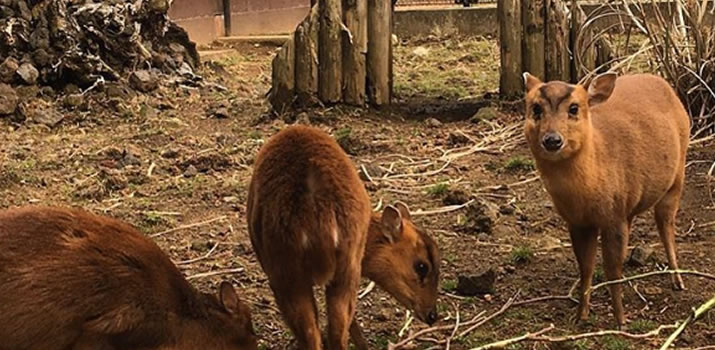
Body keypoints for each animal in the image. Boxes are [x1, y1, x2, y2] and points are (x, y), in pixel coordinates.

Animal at [524, 72, 692, 326]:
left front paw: (620, 320)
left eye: (574, 108)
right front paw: (580, 316)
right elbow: (586, 267)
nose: (552, 140)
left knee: (666, 228)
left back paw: (678, 281)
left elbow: (612, 269)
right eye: (535, 108)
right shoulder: (578, 222)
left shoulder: (614, 216)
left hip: (676, 178)